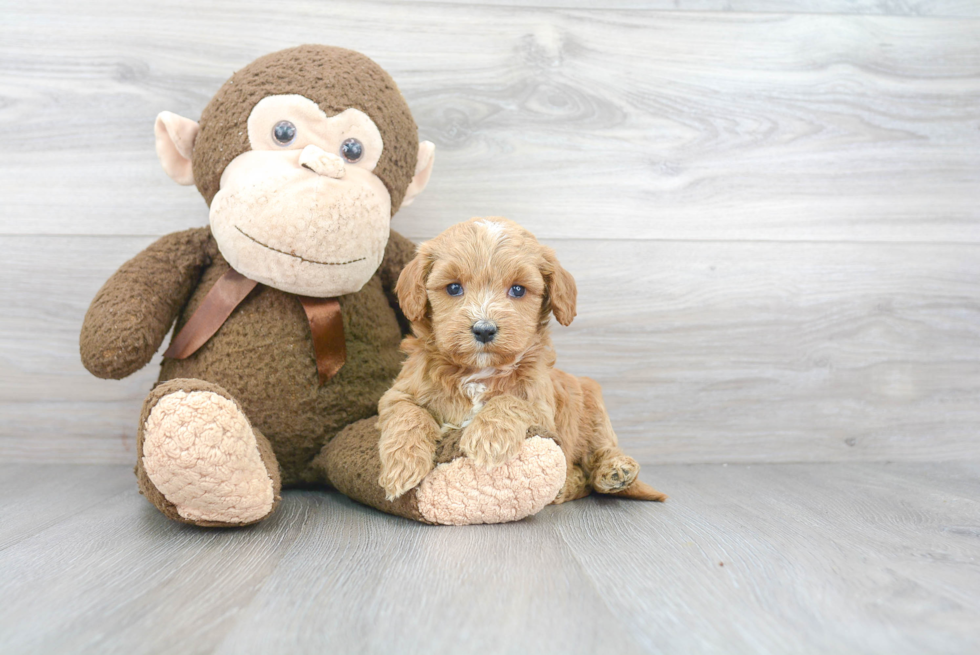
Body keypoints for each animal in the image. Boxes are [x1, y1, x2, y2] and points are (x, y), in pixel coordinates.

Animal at [378, 218, 668, 504]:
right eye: (453, 288)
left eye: (518, 290)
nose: (484, 329)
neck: (479, 371)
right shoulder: (397, 393)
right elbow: (408, 413)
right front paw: (402, 464)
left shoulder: (542, 411)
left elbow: (511, 401)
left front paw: (488, 438)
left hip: (594, 406)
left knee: (599, 455)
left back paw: (615, 471)